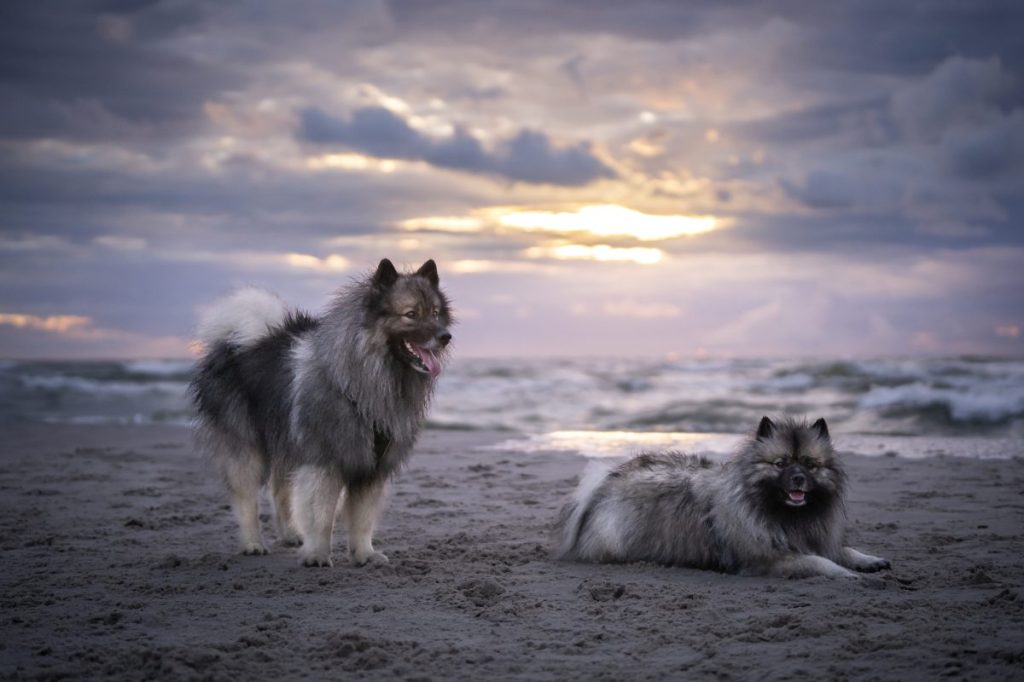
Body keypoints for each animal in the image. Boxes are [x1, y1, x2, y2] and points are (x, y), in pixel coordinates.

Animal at [191, 258, 452, 565]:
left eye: (435, 313)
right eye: (411, 314)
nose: (445, 336)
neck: (361, 379)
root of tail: (238, 340)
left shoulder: (371, 468)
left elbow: (362, 519)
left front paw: (364, 554)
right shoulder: (324, 461)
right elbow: (321, 515)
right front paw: (317, 554)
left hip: (287, 440)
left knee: (279, 489)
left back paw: (289, 535)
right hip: (246, 444)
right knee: (246, 498)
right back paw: (253, 543)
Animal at [552, 411, 888, 577]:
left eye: (810, 464)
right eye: (780, 463)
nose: (798, 478)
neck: (784, 514)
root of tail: (604, 482)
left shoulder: (817, 539)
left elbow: (842, 550)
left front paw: (868, 560)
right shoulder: (769, 558)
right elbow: (819, 563)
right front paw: (848, 575)